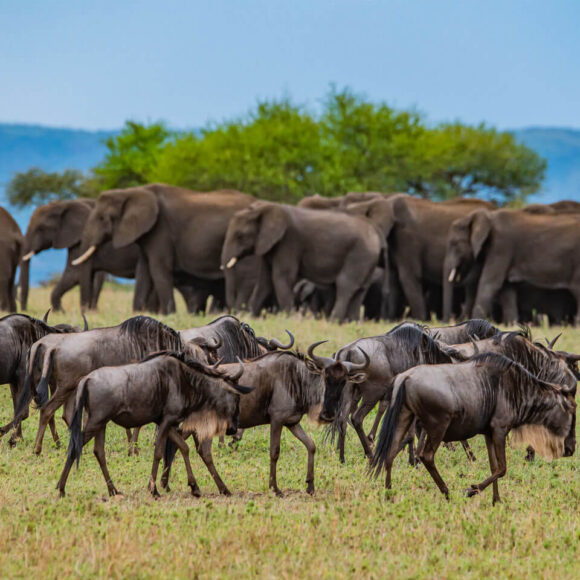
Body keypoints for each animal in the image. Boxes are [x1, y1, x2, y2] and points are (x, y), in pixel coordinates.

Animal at [56, 348, 251, 498]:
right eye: (236, 398)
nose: (233, 429)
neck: (185, 380)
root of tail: (86, 379)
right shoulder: (166, 421)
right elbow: (158, 452)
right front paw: (154, 489)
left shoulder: (167, 422)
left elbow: (183, 447)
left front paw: (194, 487)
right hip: (96, 423)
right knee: (76, 447)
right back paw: (61, 488)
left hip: (100, 424)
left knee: (99, 452)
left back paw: (113, 490)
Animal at [72, 185, 254, 312]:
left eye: (102, 218)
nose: (87, 311)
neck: (132, 192)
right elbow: (144, 271)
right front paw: (138, 313)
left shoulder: (161, 230)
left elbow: (158, 268)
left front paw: (169, 314)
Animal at [222, 202, 386, 322]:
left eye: (240, 235)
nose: (234, 313)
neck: (266, 208)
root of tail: (375, 231)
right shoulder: (269, 245)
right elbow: (265, 282)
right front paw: (250, 318)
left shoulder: (289, 241)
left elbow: (281, 277)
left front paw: (289, 319)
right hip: (367, 259)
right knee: (360, 290)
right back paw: (350, 323)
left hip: (359, 253)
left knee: (345, 286)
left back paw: (332, 322)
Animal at [446, 208, 580, 324]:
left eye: (454, 243)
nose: (454, 320)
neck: (488, 217)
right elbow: (507, 289)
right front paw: (512, 325)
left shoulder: (501, 246)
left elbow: (489, 284)